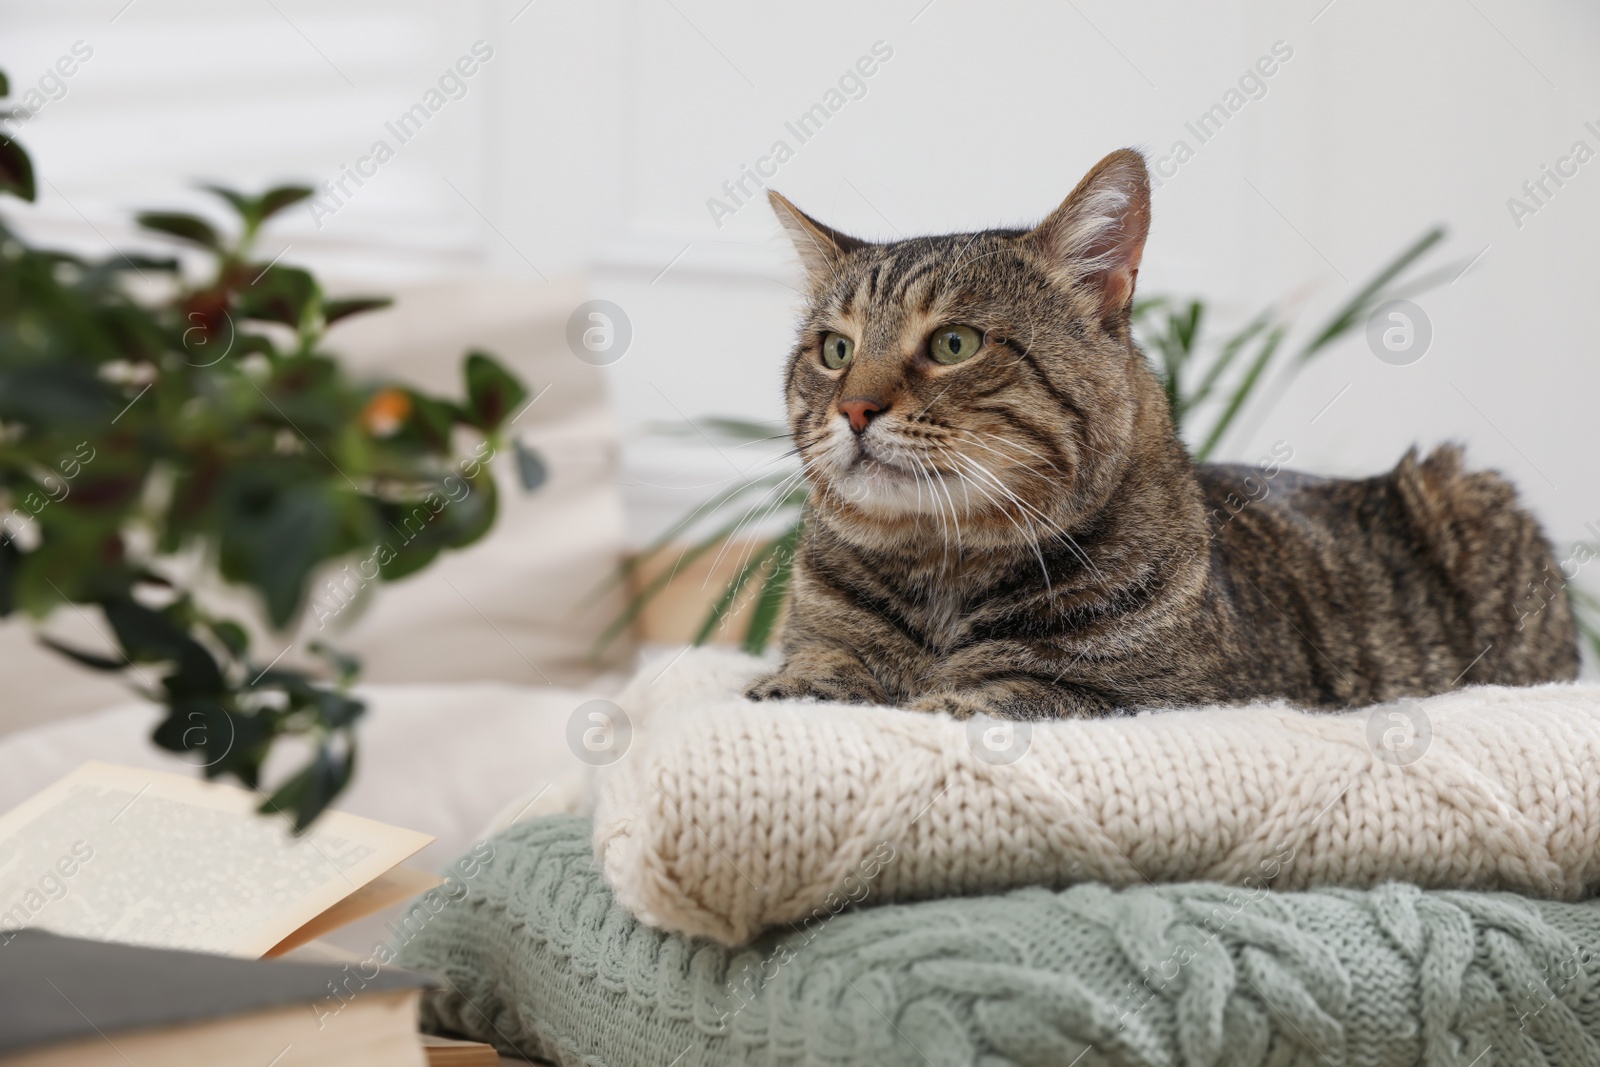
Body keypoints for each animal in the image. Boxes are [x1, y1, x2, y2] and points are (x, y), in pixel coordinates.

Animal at [745, 147, 1574, 716]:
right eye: (835, 351)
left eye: (955, 343)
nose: (854, 409)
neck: (942, 574)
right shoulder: (820, 642)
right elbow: (806, 676)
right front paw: (789, 691)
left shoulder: (1154, 698)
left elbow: (1009, 690)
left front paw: (945, 697)